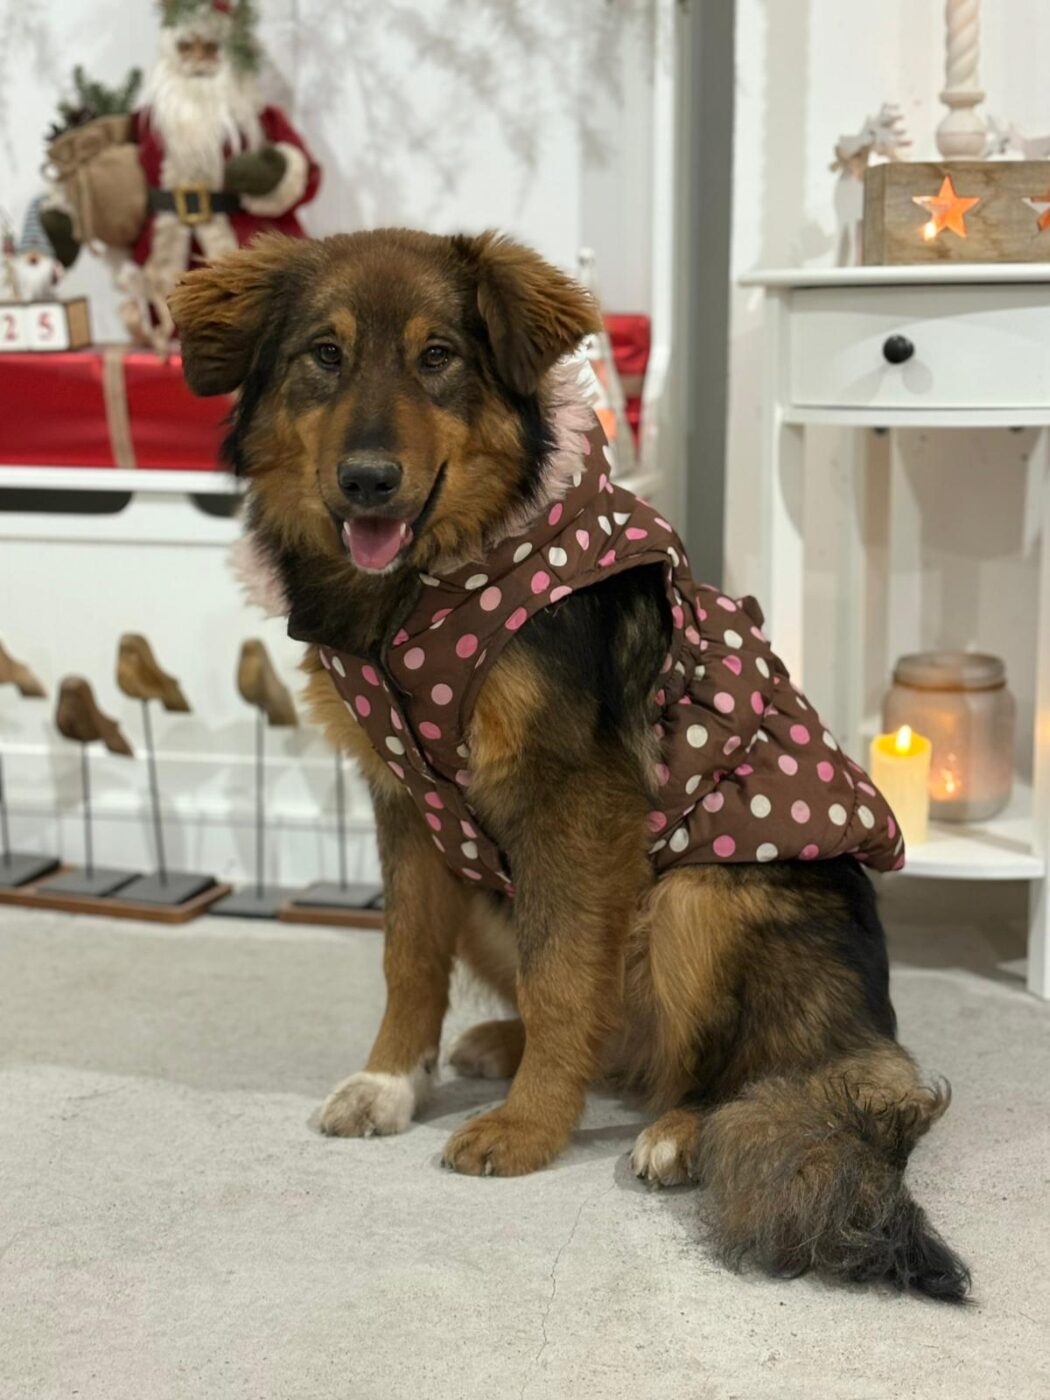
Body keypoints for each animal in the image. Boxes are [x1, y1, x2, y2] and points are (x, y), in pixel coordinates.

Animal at [170, 229, 970, 1301]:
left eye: (439, 357)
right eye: (324, 356)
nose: (367, 479)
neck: (424, 588)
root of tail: (870, 1040)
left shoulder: (575, 801)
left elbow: (560, 978)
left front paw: (528, 1127)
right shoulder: (408, 803)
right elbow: (407, 959)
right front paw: (391, 1081)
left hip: (701, 899)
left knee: (721, 1067)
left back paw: (676, 1131)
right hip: (493, 893)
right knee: (610, 1036)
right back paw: (506, 1047)